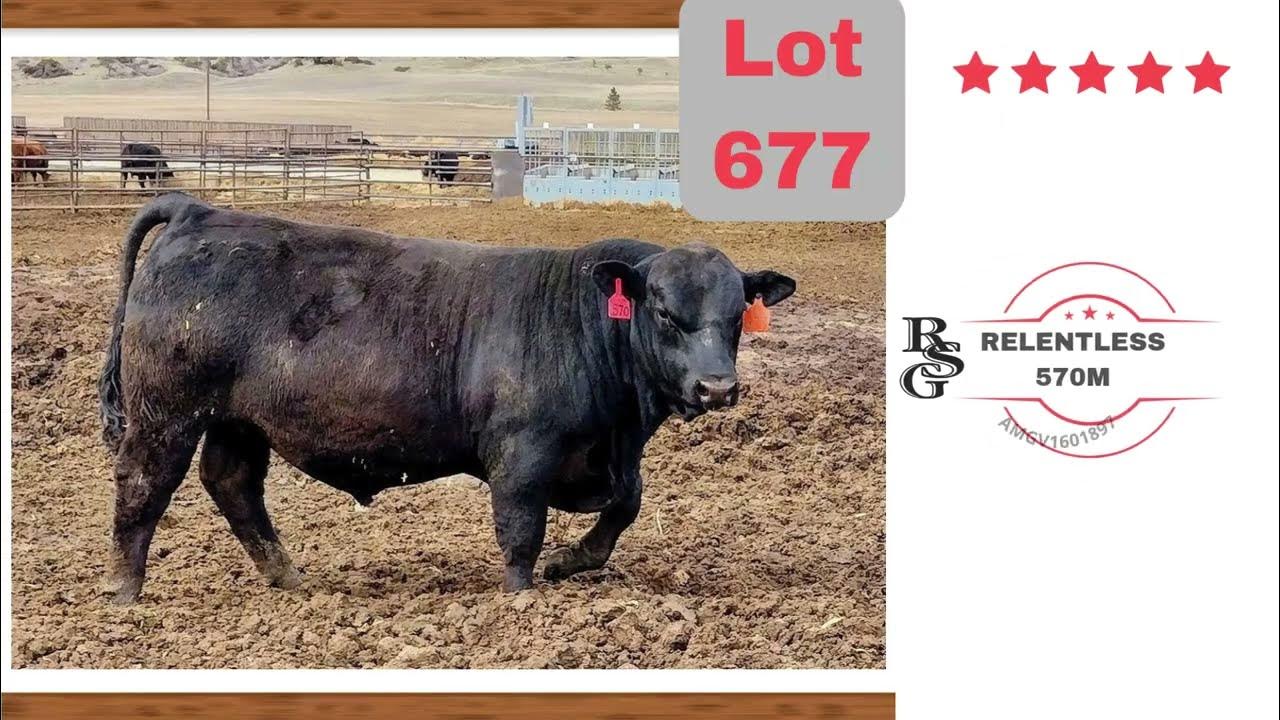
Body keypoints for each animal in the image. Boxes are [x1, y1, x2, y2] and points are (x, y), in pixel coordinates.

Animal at [98, 192, 795, 604]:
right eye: (664, 312)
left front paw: (571, 561)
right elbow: (521, 528)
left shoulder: (613, 457)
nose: (716, 387)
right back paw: (126, 593)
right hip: (167, 412)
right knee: (143, 483)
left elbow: (626, 505)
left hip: (238, 420)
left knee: (233, 483)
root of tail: (197, 211)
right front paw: (523, 598)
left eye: (737, 316)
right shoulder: (522, 454)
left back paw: (289, 578)